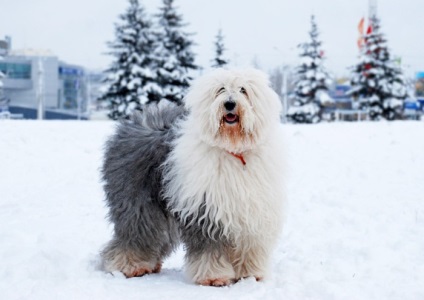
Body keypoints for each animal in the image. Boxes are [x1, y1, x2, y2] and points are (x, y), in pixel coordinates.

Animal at [100, 68, 284, 286]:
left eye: (243, 90)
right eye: (221, 89)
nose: (230, 104)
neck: (233, 151)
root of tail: (138, 120)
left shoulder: (252, 211)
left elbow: (250, 246)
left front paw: (250, 273)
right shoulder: (206, 208)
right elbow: (209, 247)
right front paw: (213, 276)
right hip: (138, 200)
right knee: (135, 233)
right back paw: (129, 266)